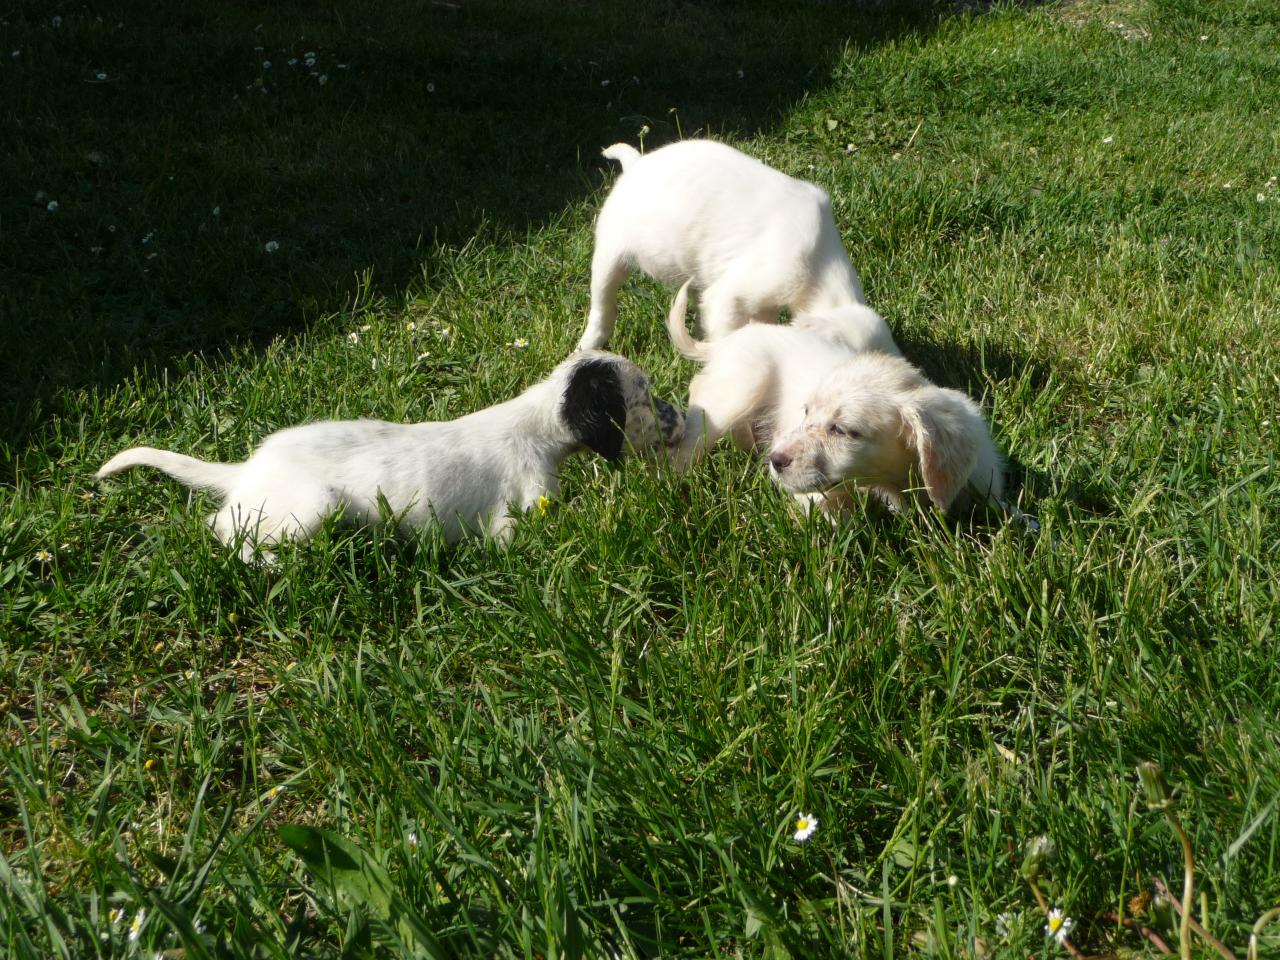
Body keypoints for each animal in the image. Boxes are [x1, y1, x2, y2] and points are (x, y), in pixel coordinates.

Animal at [94, 350, 686, 563]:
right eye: (642, 399)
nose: (680, 416)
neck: (537, 424)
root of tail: (250, 467)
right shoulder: (518, 517)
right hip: (310, 507)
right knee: (222, 529)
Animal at [578, 138, 870, 353]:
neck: (820, 260)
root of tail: (637, 164)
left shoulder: (764, 305)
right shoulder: (732, 296)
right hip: (610, 257)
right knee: (603, 305)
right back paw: (587, 345)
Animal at [665, 277, 1003, 519]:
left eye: (841, 430)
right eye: (806, 412)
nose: (775, 461)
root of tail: (731, 341)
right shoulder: (816, 494)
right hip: (736, 391)